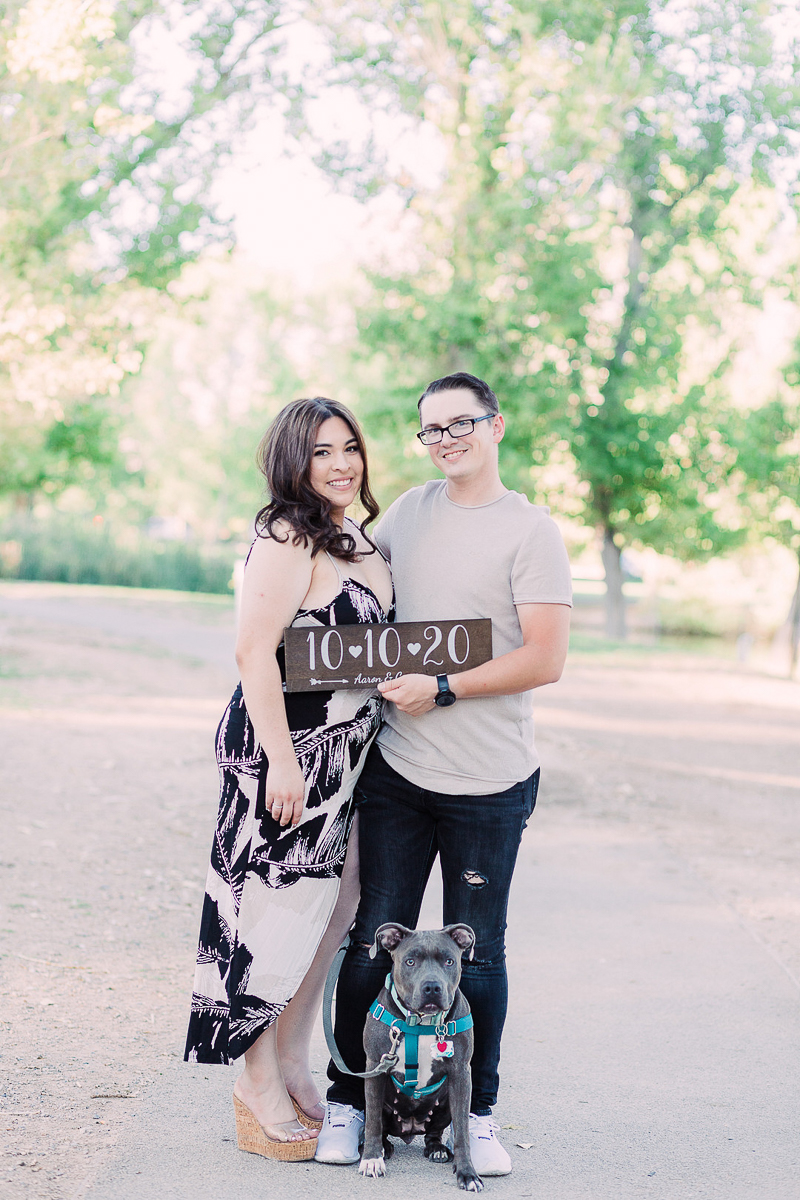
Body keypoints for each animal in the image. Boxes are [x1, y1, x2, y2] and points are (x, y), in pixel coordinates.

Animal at [359, 916, 484, 1190]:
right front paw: (371, 1160)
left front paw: (468, 1173)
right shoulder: (375, 1067)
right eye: (410, 961)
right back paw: (381, 1147)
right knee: (378, 1126)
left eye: (449, 961)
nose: (432, 987)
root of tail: (410, 1128)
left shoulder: (461, 1074)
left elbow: (462, 1130)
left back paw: (437, 1149)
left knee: (435, 1133)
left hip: (446, 1101)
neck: (422, 1021)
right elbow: (372, 1122)